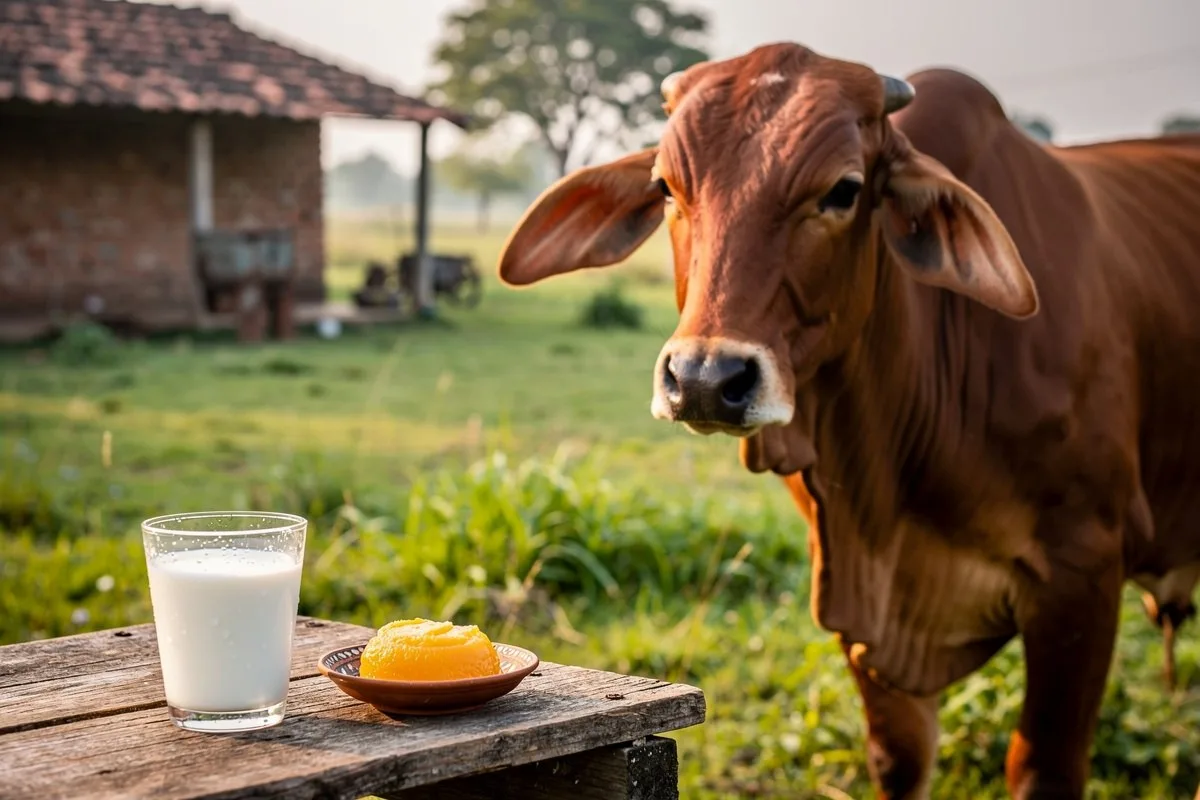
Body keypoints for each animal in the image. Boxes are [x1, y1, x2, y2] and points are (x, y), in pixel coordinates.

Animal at [496, 42, 1200, 800]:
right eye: (666, 188)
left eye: (843, 190)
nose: (706, 379)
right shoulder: (857, 601)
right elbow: (900, 758)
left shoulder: (1083, 577)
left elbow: (1042, 767)